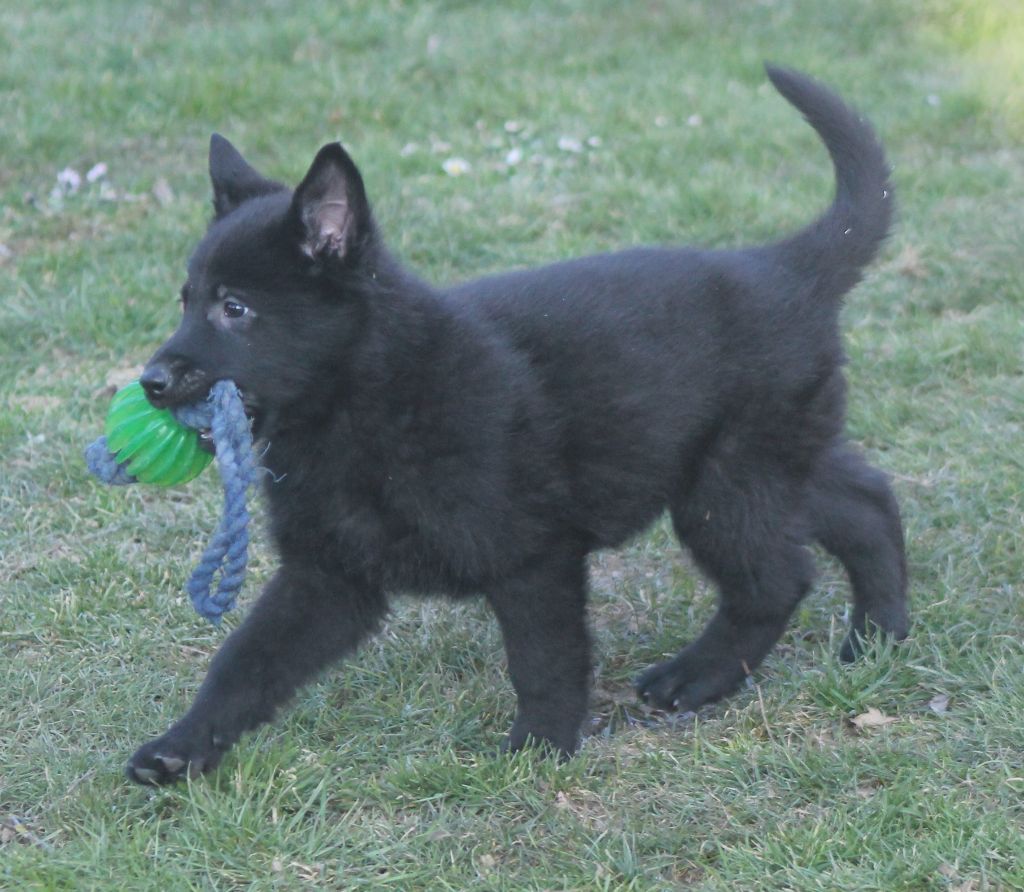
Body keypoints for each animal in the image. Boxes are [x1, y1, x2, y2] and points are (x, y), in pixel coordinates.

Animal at [125, 65, 909, 785]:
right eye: (186, 300)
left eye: (235, 309)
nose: (151, 383)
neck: (366, 403)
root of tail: (784, 269)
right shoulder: (329, 573)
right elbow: (245, 662)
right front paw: (179, 746)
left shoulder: (532, 559)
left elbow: (543, 660)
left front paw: (540, 748)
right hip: (774, 460)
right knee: (866, 502)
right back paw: (880, 635)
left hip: (726, 483)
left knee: (776, 579)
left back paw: (698, 677)